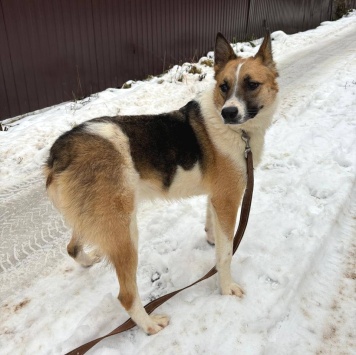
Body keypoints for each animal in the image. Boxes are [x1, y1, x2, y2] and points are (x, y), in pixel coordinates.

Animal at [44, 32, 278, 336]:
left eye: (251, 84)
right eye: (224, 87)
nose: (228, 112)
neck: (240, 133)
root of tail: (60, 151)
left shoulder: (216, 195)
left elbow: (211, 223)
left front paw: (210, 238)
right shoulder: (229, 198)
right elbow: (226, 253)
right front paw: (226, 287)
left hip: (97, 219)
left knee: (72, 247)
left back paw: (87, 260)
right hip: (124, 232)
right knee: (126, 295)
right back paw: (150, 325)